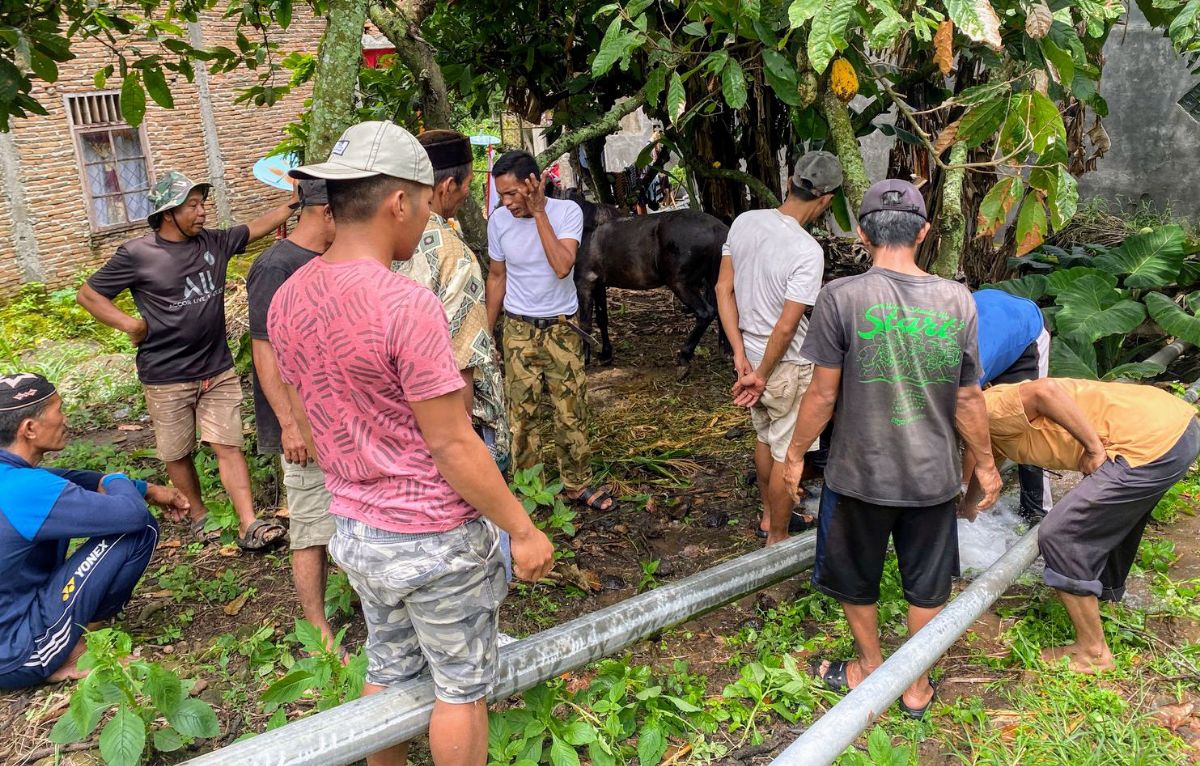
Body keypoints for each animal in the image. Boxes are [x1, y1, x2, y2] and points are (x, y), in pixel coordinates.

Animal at [564, 190, 730, 371]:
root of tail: (717, 228)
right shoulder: (599, 285)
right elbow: (602, 319)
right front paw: (606, 354)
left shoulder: (584, 283)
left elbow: (585, 324)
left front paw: (584, 361)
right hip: (714, 281)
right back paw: (726, 352)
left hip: (681, 284)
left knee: (705, 313)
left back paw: (684, 355)